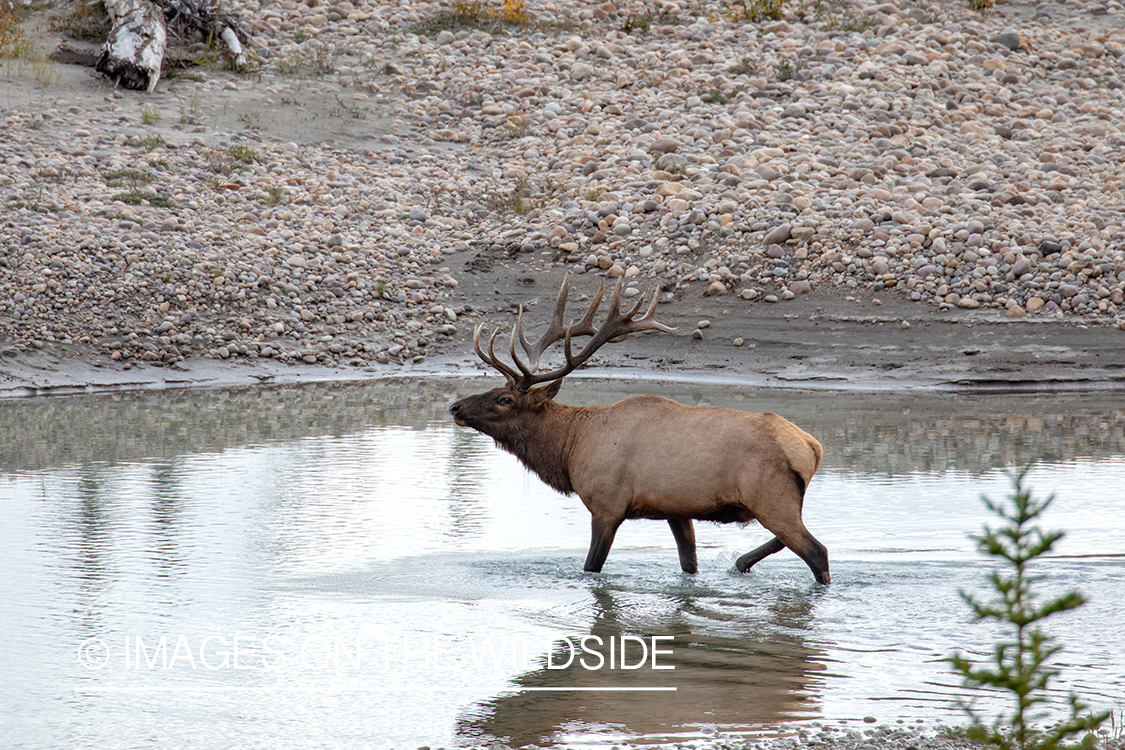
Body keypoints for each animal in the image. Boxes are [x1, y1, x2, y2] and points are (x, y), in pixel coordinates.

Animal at [445, 277, 828, 584]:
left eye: (505, 398)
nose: (456, 407)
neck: (570, 448)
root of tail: (812, 447)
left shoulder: (607, 504)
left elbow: (591, 567)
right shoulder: (675, 509)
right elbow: (688, 564)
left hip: (770, 496)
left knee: (817, 551)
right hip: (780, 500)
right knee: (789, 541)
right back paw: (741, 562)